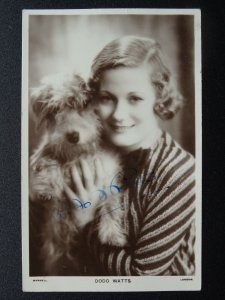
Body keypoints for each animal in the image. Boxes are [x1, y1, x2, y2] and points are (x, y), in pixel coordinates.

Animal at [29, 72, 127, 274]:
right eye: (56, 110)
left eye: (83, 104)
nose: (72, 136)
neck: (79, 153)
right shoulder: (49, 149)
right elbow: (47, 158)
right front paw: (47, 186)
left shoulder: (108, 174)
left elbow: (111, 203)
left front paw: (112, 234)